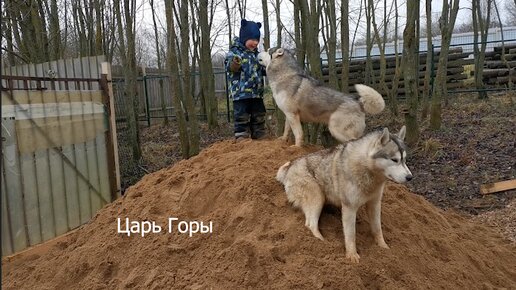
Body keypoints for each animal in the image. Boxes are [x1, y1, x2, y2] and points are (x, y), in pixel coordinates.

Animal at [276, 125, 414, 262]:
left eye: (404, 160)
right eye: (394, 160)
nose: (410, 177)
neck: (367, 169)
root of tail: (290, 166)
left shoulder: (374, 204)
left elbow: (377, 229)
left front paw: (383, 248)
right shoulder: (349, 208)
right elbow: (351, 235)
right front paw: (352, 256)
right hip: (318, 198)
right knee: (310, 224)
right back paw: (322, 243)